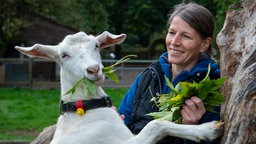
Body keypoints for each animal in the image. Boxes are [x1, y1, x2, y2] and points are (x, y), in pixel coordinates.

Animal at [15, 31, 222, 143]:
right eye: (63, 55)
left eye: (96, 45)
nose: (93, 70)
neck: (83, 110)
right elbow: (155, 125)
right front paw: (208, 129)